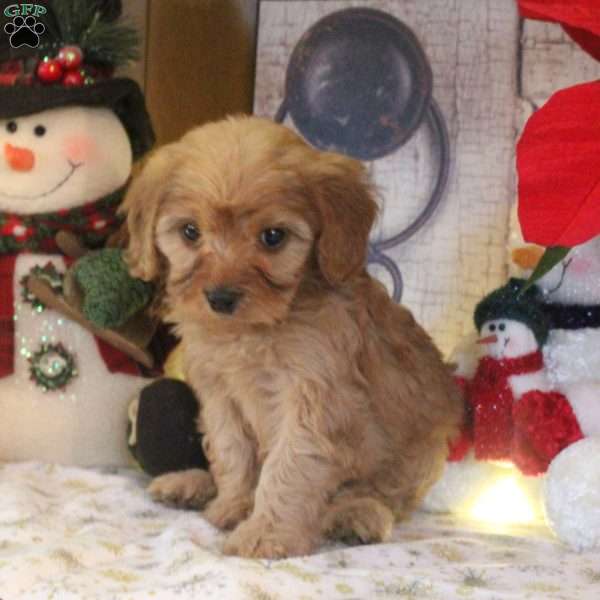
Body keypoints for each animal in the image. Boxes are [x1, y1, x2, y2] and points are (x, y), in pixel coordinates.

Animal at [123, 116, 464, 556]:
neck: (254, 330)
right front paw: (234, 506)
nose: (220, 298)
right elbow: (232, 452)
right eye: (190, 231)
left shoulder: (313, 399)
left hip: (413, 456)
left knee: (383, 495)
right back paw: (190, 484)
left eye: (273, 236)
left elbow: (289, 468)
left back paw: (356, 516)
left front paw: (265, 533)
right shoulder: (219, 395)